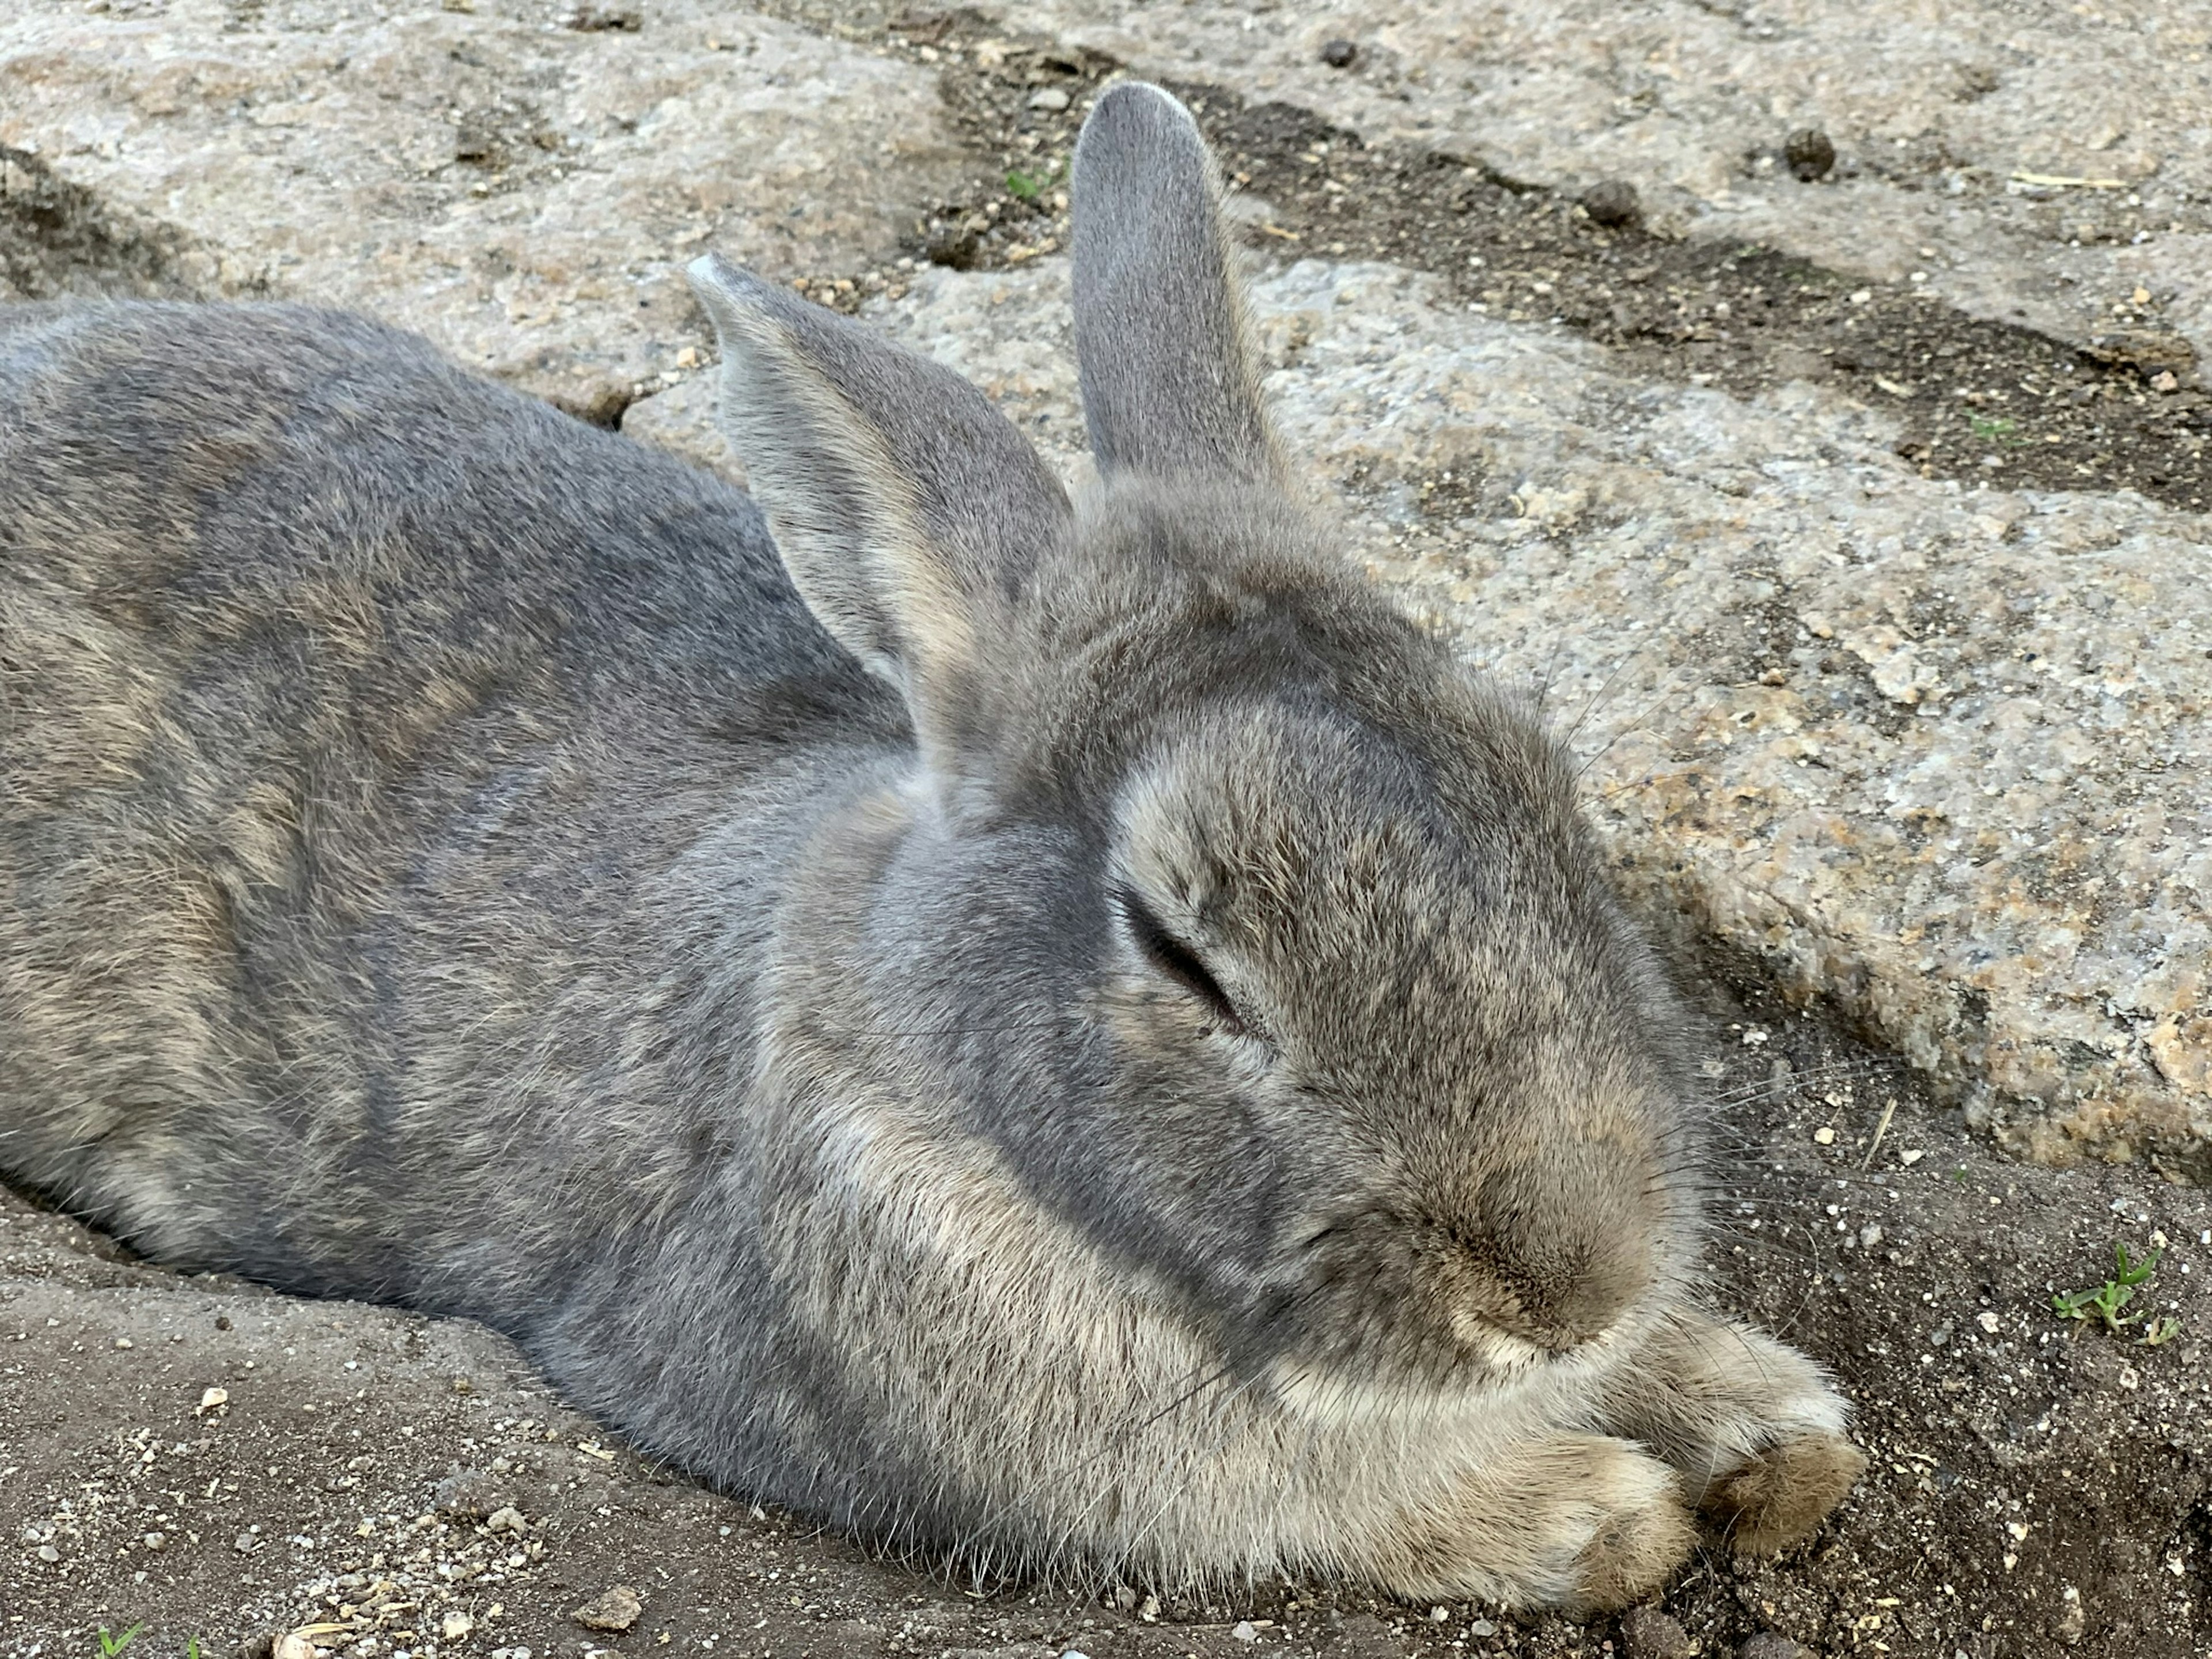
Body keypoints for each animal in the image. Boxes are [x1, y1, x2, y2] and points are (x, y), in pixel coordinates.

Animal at [0, 81, 1866, 1610]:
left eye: (1541, 783)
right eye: (1180, 950)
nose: (1570, 1282)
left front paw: (1773, 1430)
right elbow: (1331, 1512)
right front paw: (1598, 1514)